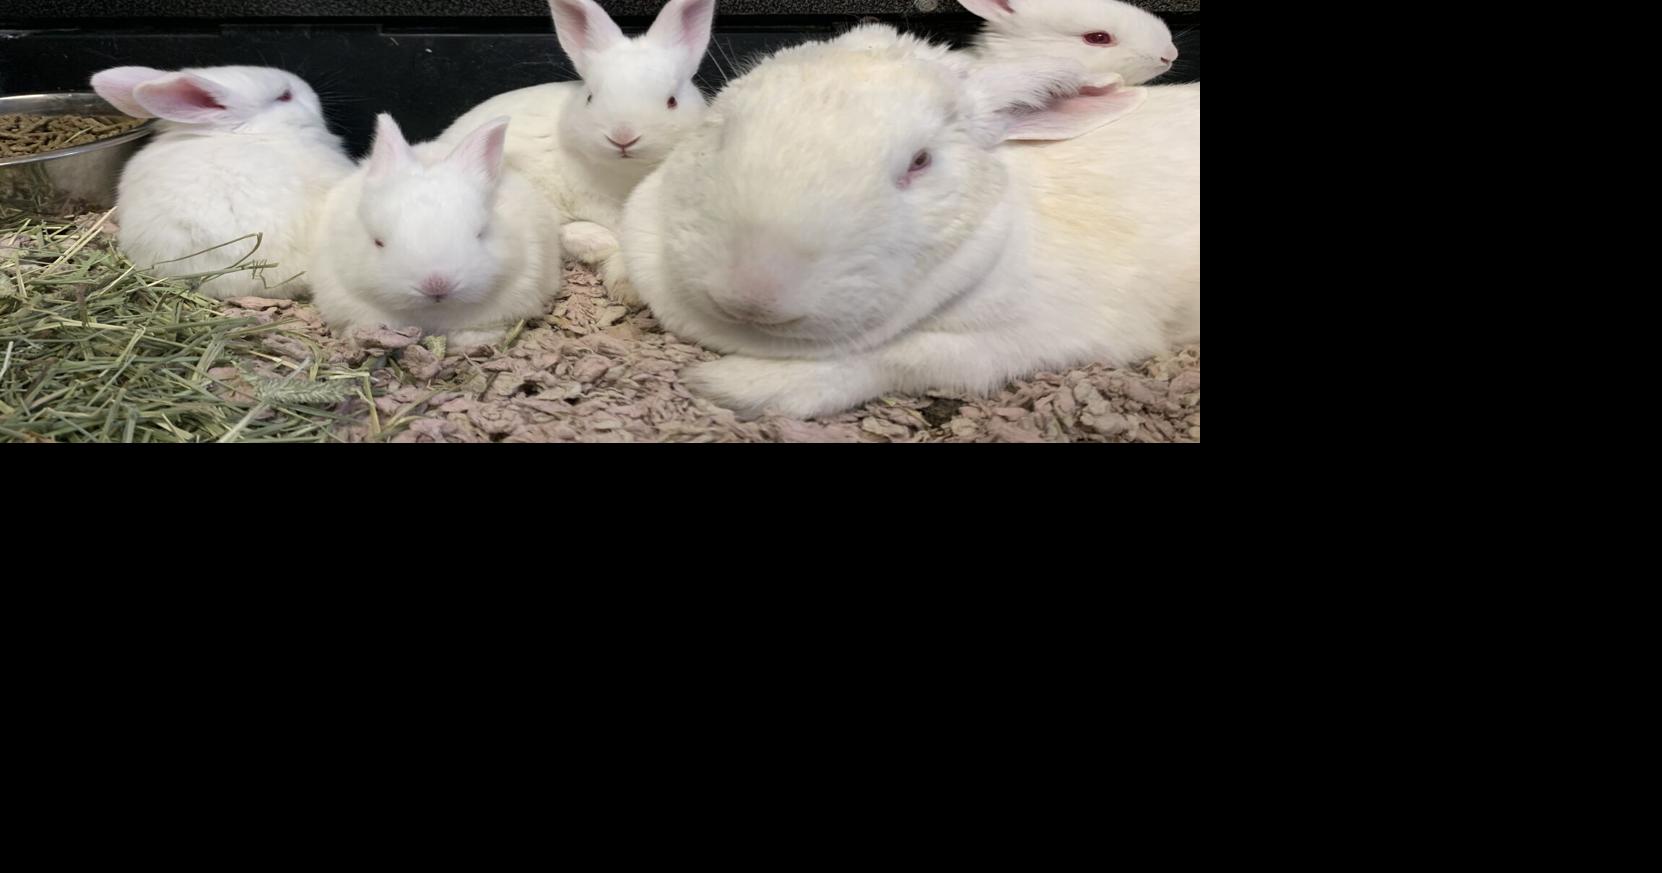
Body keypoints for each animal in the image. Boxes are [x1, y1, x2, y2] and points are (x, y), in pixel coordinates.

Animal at [434, 0, 717, 306]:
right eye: (590, 97)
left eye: (672, 101)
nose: (623, 136)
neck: (627, 172)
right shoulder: (595, 201)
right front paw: (626, 286)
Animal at [618, 24, 1199, 419]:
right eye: (723, 131)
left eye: (920, 162)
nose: (753, 295)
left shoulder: (1030, 338)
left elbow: (898, 358)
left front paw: (728, 383)